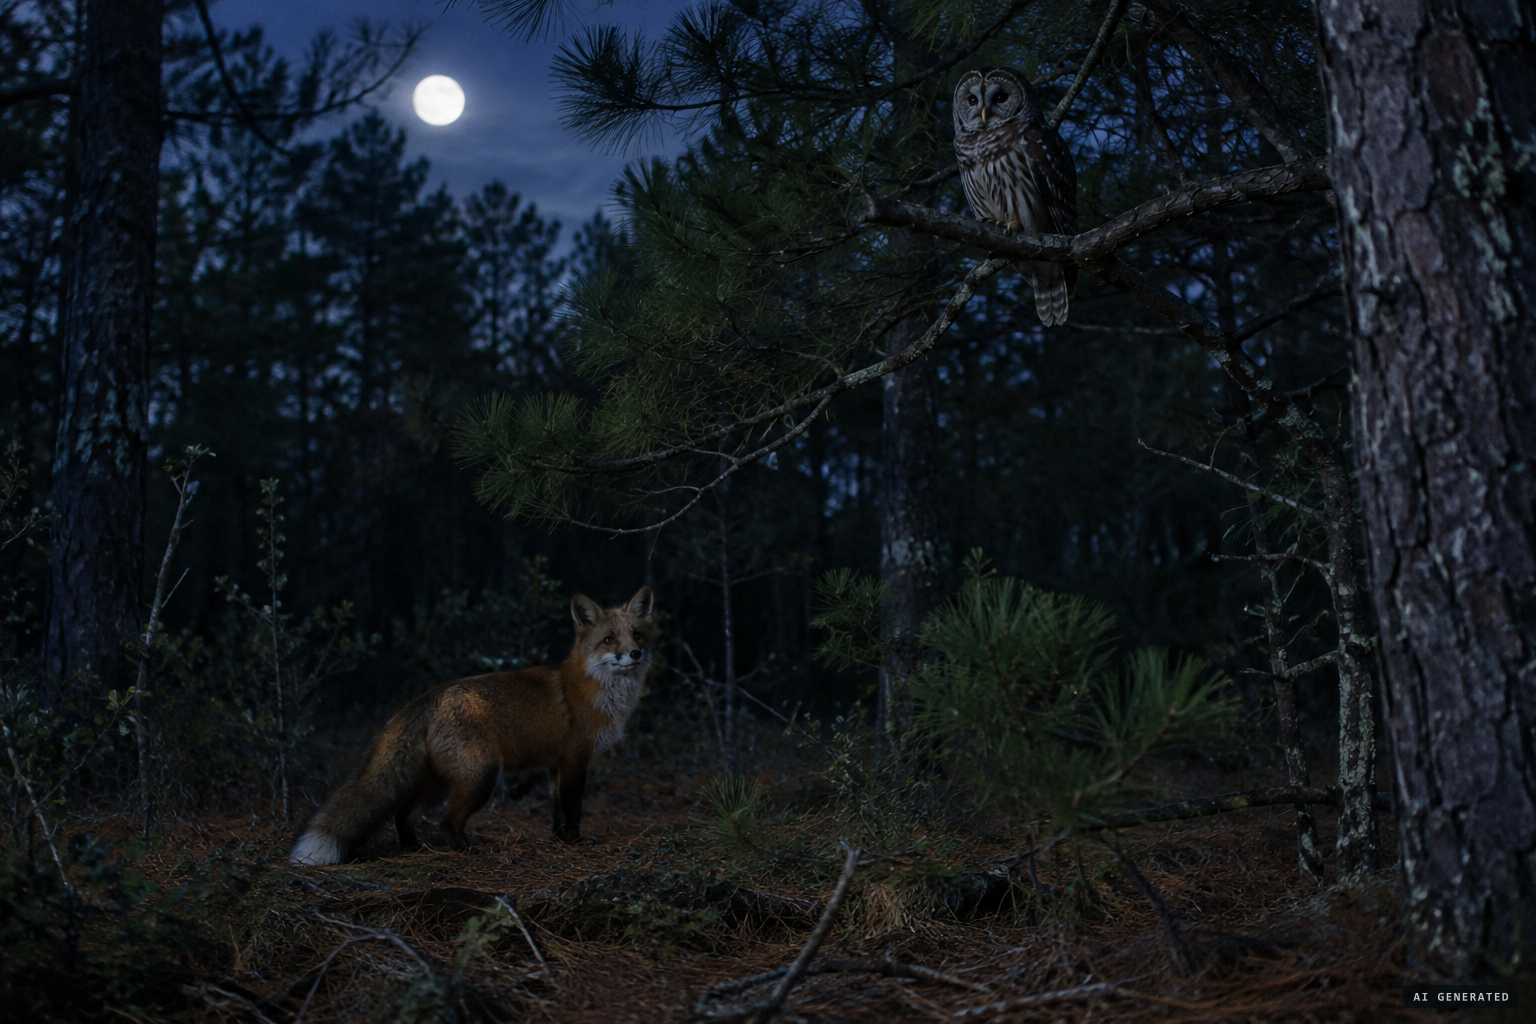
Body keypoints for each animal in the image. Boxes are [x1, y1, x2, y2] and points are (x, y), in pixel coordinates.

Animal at [290, 586, 654, 866]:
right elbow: (573, 809)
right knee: (446, 824)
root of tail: (430, 695)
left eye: (637, 636)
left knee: (403, 813)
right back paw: (468, 851)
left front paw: (558, 841)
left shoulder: (554, 765)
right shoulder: (575, 760)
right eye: (609, 640)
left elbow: (555, 812)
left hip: (439, 783)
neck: (595, 689)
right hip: (481, 776)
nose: (636, 653)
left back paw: (414, 849)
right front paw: (575, 843)